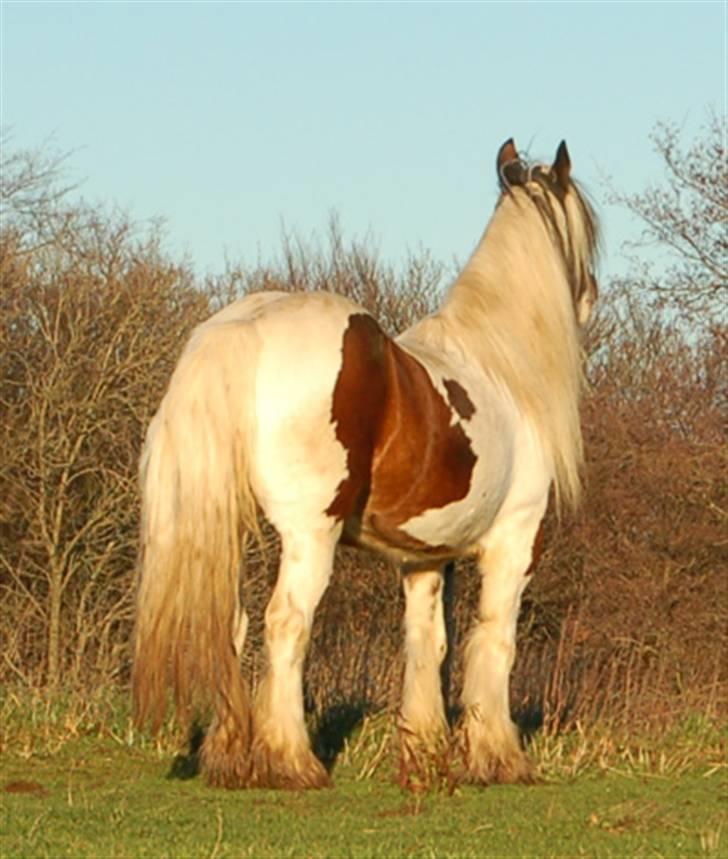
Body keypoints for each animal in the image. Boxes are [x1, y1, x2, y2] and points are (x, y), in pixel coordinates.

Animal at [134, 139, 600, 792]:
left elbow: (427, 645)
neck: (502, 368)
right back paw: (293, 762)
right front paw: (498, 757)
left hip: (231, 531)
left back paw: (230, 757)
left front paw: (424, 753)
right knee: (286, 623)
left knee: (232, 625)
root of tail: (242, 331)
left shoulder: (425, 559)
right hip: (309, 535)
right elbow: (493, 639)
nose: (590, 297)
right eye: (583, 229)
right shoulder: (514, 540)